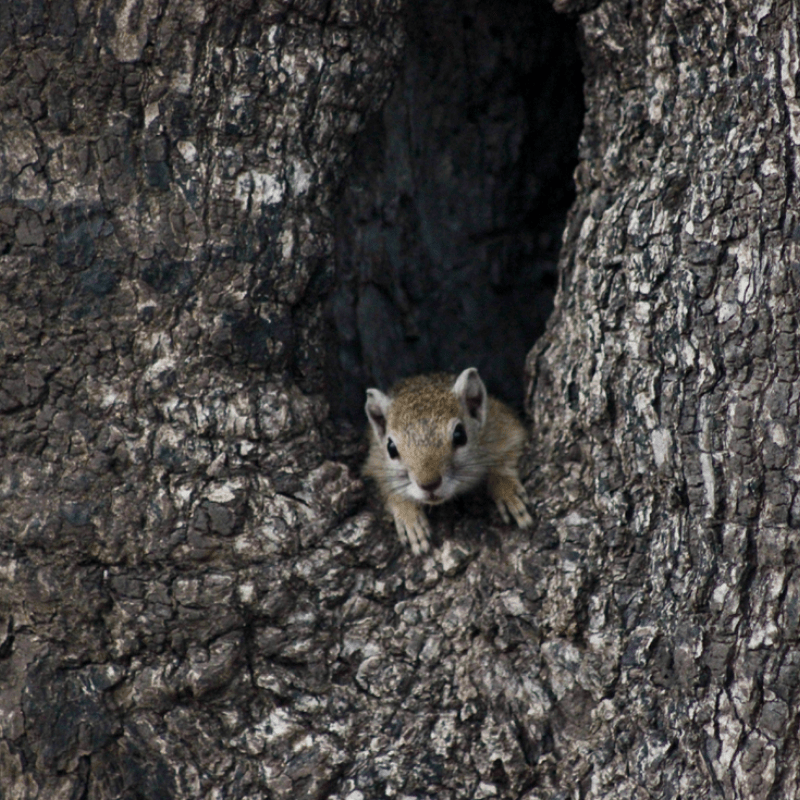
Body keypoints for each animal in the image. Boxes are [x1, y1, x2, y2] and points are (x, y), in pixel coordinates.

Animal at [362, 368, 532, 556]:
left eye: (460, 435)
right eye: (390, 448)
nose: (429, 484)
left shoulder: (505, 429)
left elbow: (505, 460)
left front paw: (506, 491)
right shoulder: (374, 461)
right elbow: (387, 487)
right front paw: (409, 517)